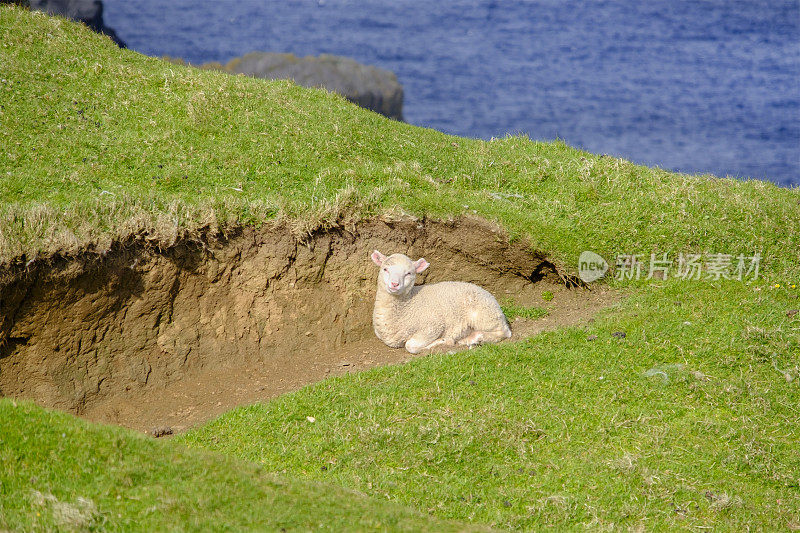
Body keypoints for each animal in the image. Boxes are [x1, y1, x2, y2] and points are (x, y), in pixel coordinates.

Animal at [370, 250, 512, 354]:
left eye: (408, 273)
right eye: (385, 269)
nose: (394, 284)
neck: (408, 305)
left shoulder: (433, 326)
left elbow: (410, 346)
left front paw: (443, 342)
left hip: (484, 315)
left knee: (504, 332)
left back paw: (475, 338)